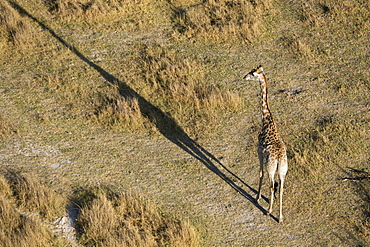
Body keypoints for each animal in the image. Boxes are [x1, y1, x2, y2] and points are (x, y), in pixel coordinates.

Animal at [243, 65, 290, 222]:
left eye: (252, 74)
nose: (244, 77)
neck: (266, 121)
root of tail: (279, 159)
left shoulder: (259, 152)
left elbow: (260, 173)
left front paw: (257, 198)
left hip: (272, 168)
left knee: (271, 185)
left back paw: (269, 211)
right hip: (282, 170)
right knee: (280, 187)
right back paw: (280, 217)